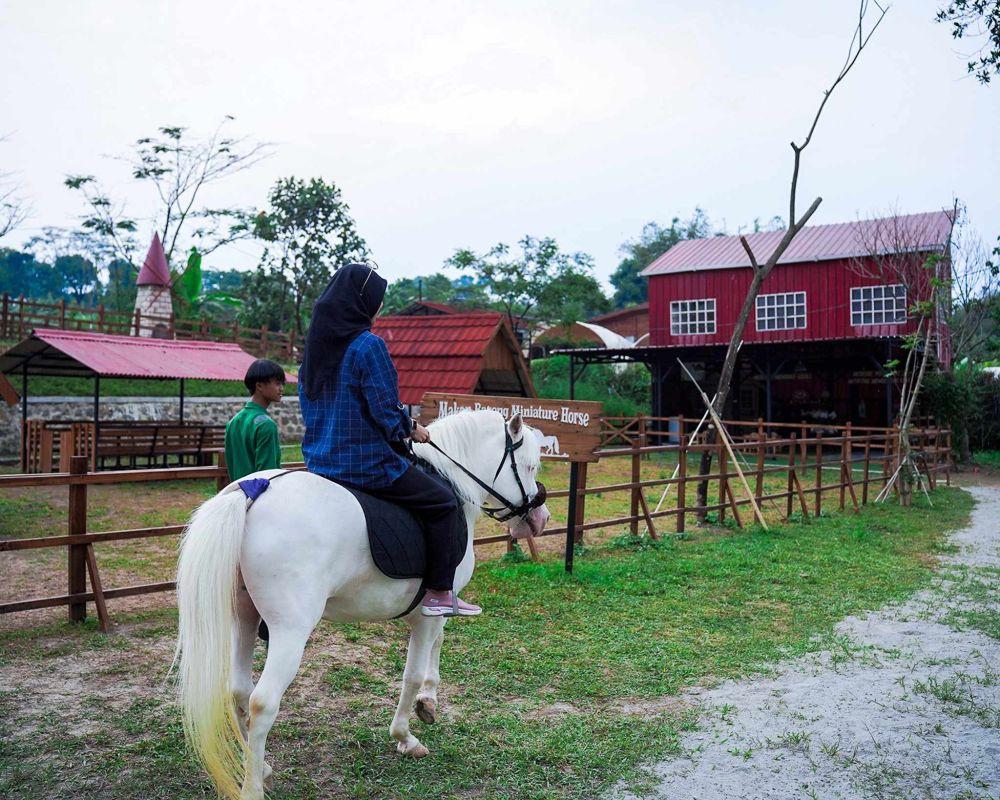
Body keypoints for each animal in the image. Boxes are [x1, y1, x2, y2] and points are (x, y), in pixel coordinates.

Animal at [172, 410, 548, 800]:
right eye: (530, 466)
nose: (541, 519)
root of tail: (252, 494)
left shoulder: (432, 611)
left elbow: (437, 647)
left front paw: (428, 703)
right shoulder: (429, 612)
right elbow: (412, 673)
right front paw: (405, 736)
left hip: (243, 617)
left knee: (238, 693)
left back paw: (262, 768)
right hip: (290, 630)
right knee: (262, 702)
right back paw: (252, 786)